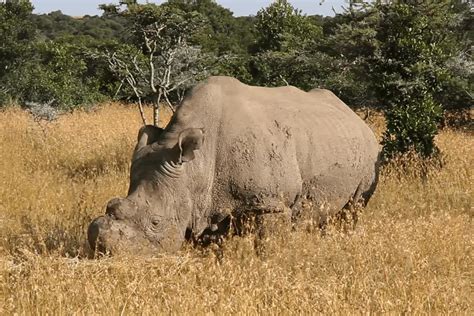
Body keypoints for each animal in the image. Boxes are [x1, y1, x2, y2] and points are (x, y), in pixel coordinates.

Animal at [87, 77, 380, 256]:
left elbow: (267, 246)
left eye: (156, 222)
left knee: (354, 207)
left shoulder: (271, 203)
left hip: (369, 152)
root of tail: (355, 117)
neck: (197, 167)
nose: (104, 252)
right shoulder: (204, 202)